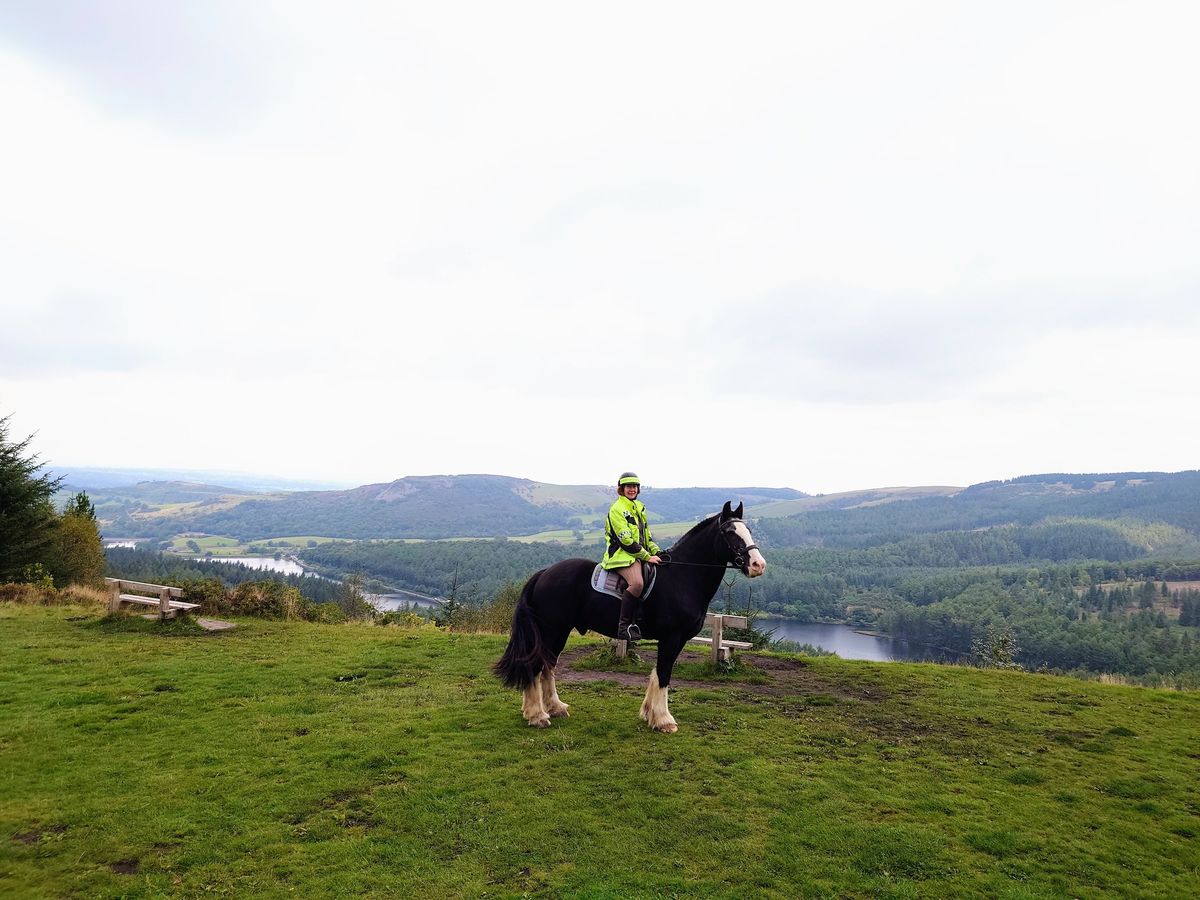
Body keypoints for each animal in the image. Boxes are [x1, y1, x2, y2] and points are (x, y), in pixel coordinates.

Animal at [489, 504, 763, 734]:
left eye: (748, 530)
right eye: (730, 532)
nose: (758, 565)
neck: (682, 577)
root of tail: (544, 573)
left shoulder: (676, 639)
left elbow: (657, 673)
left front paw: (650, 714)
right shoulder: (672, 637)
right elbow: (664, 673)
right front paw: (664, 720)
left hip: (560, 631)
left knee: (548, 665)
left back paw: (554, 708)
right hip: (550, 630)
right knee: (536, 666)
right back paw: (537, 715)